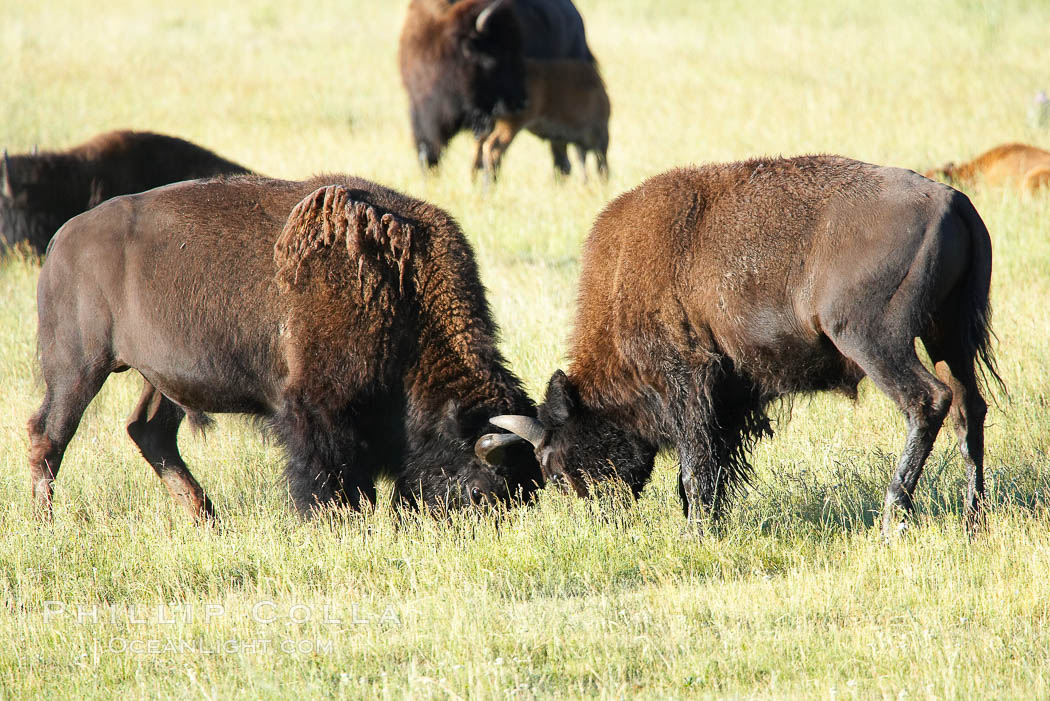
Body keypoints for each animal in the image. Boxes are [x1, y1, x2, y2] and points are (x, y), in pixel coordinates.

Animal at [30, 173, 541, 520]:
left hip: (161, 379)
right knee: (49, 435)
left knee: (149, 431)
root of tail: (62, 240)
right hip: (78, 369)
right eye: (481, 491)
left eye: (530, 490)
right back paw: (46, 524)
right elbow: (325, 477)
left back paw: (208, 521)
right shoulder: (313, 408)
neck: (399, 290)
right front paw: (335, 521)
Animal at [474, 58, 613, 183]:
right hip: (511, 125)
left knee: (480, 148)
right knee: (493, 148)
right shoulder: (600, 134)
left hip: (491, 124)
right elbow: (600, 164)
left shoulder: (565, 141)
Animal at [482, 154, 999, 537]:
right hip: (948, 336)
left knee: (927, 401)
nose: (599, 518)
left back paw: (893, 519)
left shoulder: (688, 382)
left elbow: (695, 467)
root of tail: (952, 201)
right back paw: (973, 519)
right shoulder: (730, 397)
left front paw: (696, 531)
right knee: (969, 408)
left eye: (555, 467)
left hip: (875, 341)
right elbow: (712, 465)